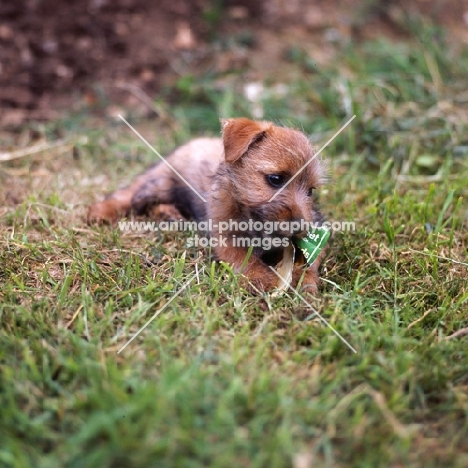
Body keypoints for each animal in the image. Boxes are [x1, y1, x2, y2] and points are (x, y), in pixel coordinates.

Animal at [89, 117, 328, 292]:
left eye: (310, 191)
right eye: (276, 179)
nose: (300, 227)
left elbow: (309, 260)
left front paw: (305, 281)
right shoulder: (226, 239)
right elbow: (246, 260)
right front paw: (266, 280)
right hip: (160, 183)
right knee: (132, 196)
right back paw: (102, 211)